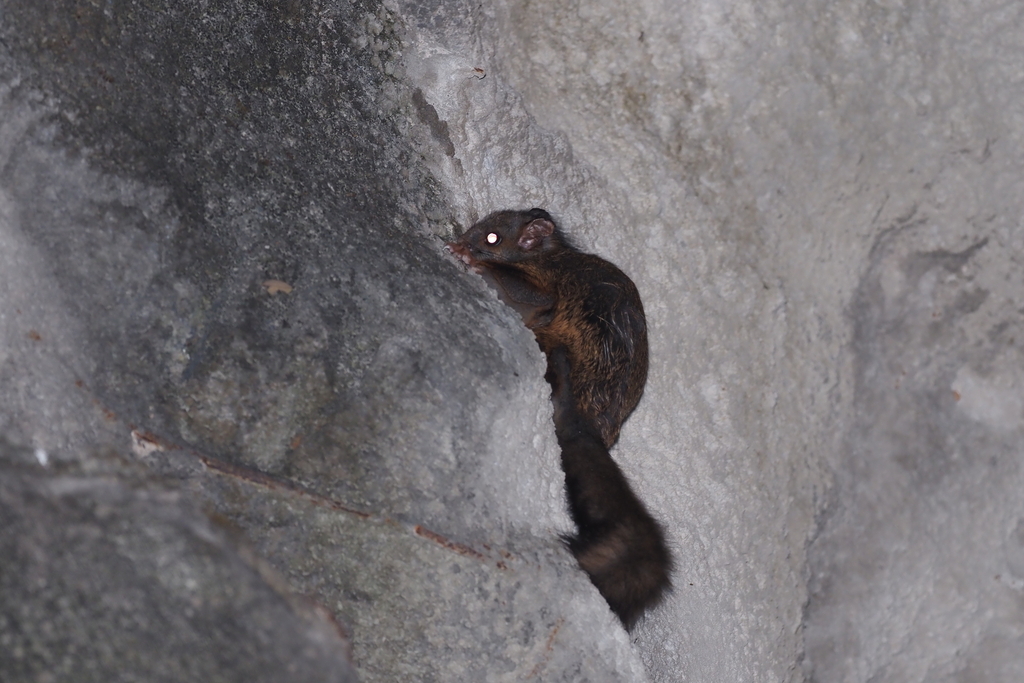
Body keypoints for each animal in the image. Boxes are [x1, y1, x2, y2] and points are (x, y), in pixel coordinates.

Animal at [447, 208, 670, 629]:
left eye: (491, 238)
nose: (464, 241)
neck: (545, 255)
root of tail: (590, 424)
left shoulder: (544, 288)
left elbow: (537, 299)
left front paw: (468, 258)